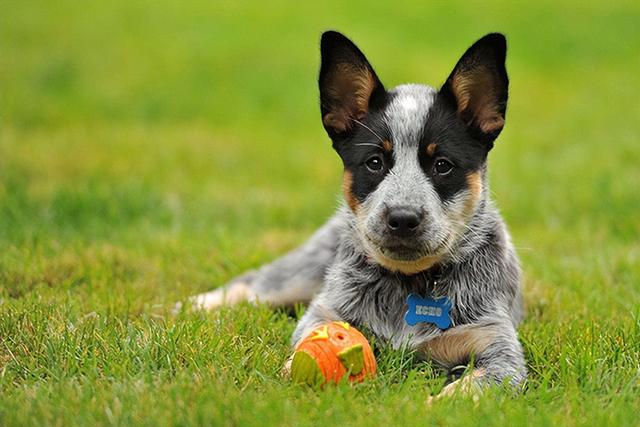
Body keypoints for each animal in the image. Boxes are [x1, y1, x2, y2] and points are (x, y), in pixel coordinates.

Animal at [188, 31, 528, 396]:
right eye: (375, 162)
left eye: (442, 165)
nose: (402, 218)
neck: (409, 285)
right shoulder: (324, 312)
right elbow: (301, 351)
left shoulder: (496, 346)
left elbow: (471, 388)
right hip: (303, 272)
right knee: (253, 284)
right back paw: (193, 305)